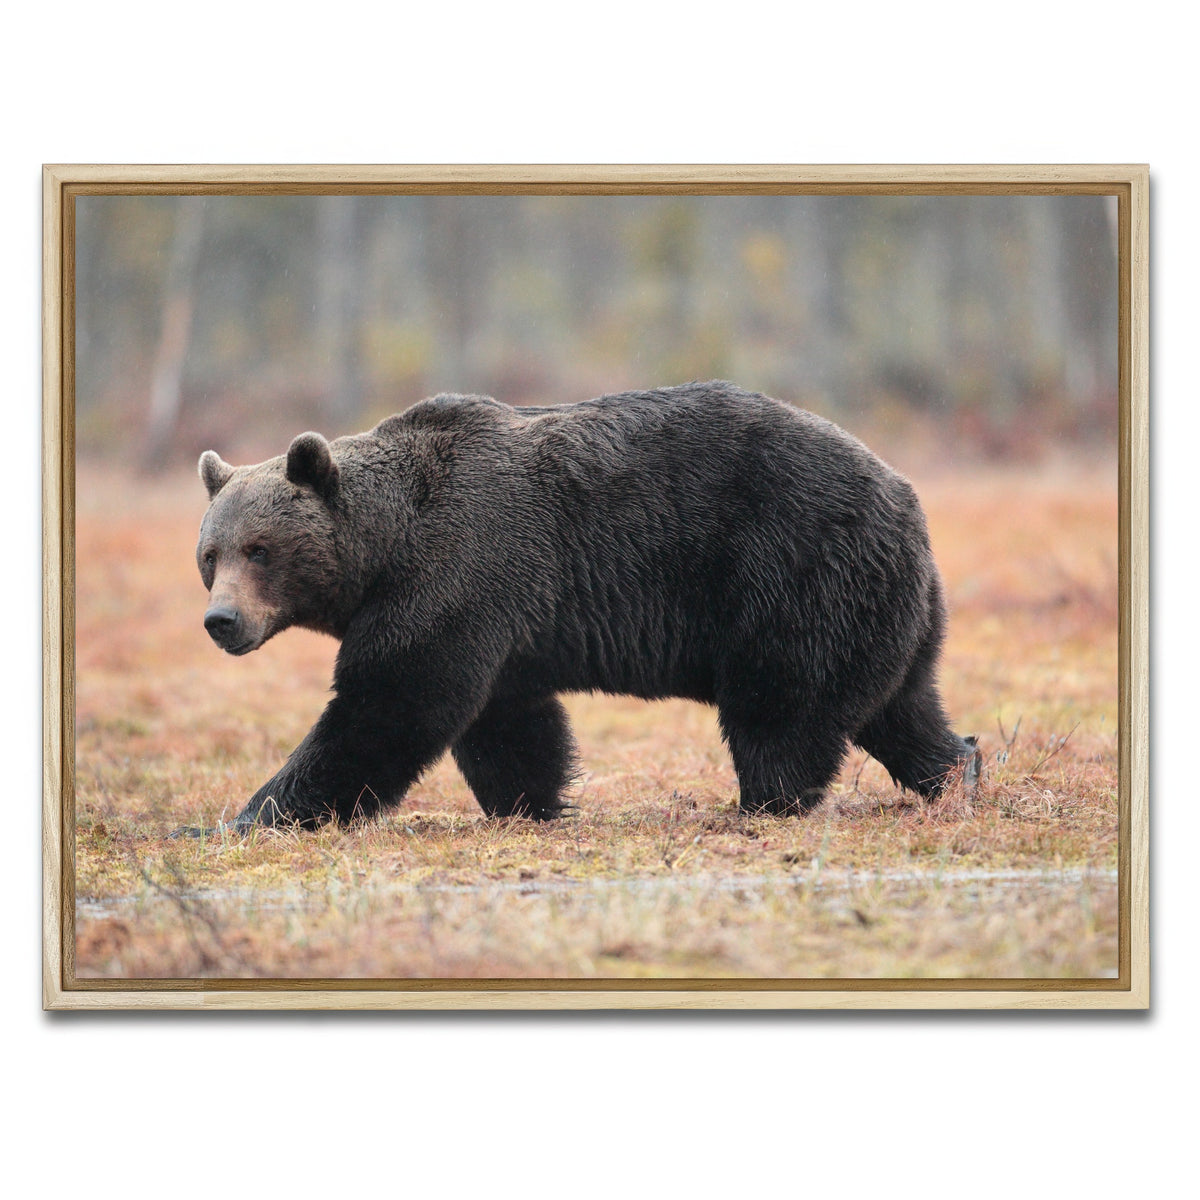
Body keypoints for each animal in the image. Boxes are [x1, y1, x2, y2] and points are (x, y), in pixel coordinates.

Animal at [182, 380, 978, 835]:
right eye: (210, 555)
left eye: (260, 549)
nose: (222, 623)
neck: (386, 547)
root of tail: (905, 494)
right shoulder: (498, 615)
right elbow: (507, 722)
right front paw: (533, 802)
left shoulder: (458, 569)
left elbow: (389, 705)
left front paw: (244, 818)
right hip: (886, 607)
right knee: (901, 708)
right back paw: (958, 771)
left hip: (792, 571)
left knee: (781, 708)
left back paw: (764, 803)